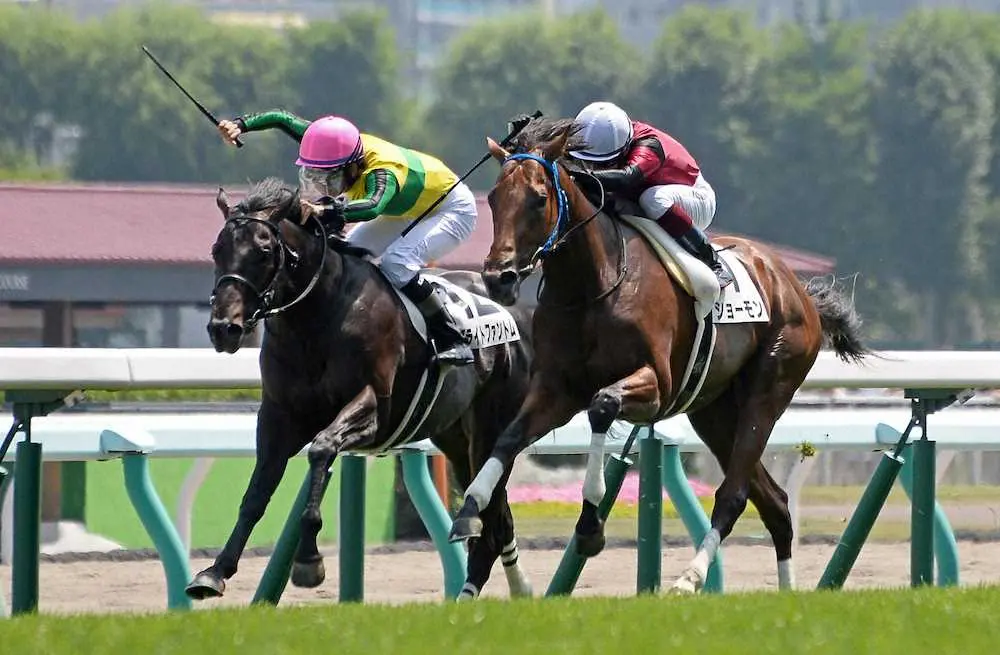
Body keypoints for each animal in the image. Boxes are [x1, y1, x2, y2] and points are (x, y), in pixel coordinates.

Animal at [187, 176, 536, 602]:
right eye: (217, 249)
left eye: (264, 250)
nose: (224, 328)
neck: (317, 318)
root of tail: (514, 312)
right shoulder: (277, 415)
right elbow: (256, 494)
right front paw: (214, 572)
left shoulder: (373, 407)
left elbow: (321, 450)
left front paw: (309, 561)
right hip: (454, 437)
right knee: (492, 516)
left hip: (491, 431)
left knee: (493, 519)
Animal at [449, 118, 871, 594]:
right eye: (495, 197)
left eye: (539, 199)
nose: (497, 278)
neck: (594, 285)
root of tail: (795, 286)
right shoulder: (557, 390)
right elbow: (509, 438)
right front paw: (469, 509)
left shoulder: (655, 386)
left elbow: (603, 405)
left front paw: (590, 526)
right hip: (713, 412)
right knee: (776, 504)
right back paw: (784, 590)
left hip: (768, 389)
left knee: (734, 495)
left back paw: (689, 578)